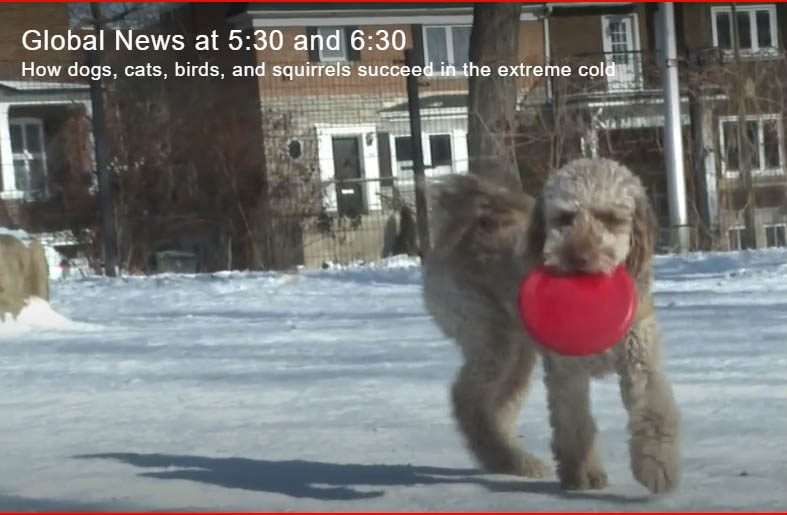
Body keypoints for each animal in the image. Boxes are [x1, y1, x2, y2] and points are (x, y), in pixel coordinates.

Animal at [424, 158, 684, 496]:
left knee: (496, 407)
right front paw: (584, 474)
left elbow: (654, 412)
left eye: (611, 218)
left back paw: (510, 460)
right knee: (467, 400)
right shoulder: (566, 371)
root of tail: (477, 220)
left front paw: (659, 467)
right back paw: (508, 457)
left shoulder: (639, 359)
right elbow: (573, 423)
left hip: (518, 358)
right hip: (491, 337)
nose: (579, 257)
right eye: (564, 217)